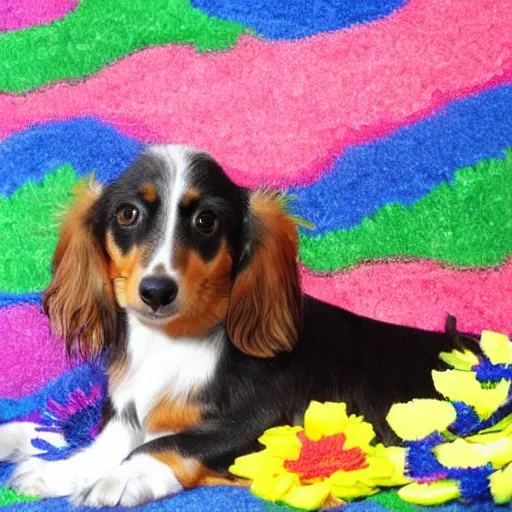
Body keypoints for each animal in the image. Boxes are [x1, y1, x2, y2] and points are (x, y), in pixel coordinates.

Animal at [1, 145, 480, 508]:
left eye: (206, 221)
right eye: (127, 215)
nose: (157, 291)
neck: (172, 343)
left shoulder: (261, 421)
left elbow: (165, 444)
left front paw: (125, 477)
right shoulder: (126, 415)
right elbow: (96, 443)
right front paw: (55, 467)